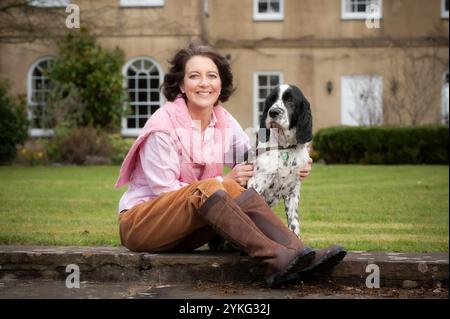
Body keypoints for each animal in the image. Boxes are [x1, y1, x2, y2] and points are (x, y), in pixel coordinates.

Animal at [246, 84, 312, 236]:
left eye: (290, 100)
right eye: (271, 100)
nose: (273, 113)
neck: (284, 147)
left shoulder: (293, 190)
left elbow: (293, 223)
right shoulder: (255, 184)